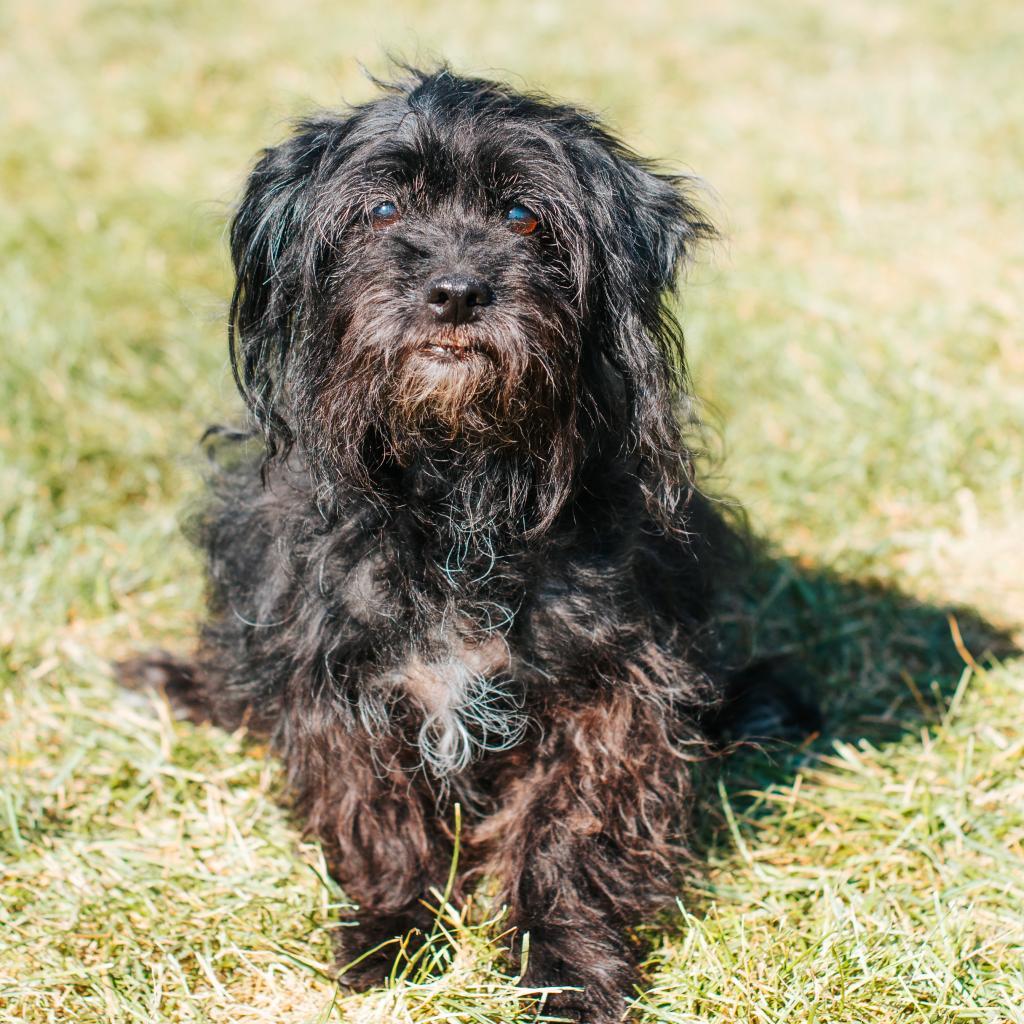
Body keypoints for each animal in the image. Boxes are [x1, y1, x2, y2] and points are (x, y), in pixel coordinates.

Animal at [117, 68, 782, 1019]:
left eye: (523, 216)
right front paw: (391, 932)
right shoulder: (337, 679)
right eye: (383, 208)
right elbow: (377, 818)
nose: (457, 291)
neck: (456, 485)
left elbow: (568, 834)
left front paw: (568, 966)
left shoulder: (609, 691)